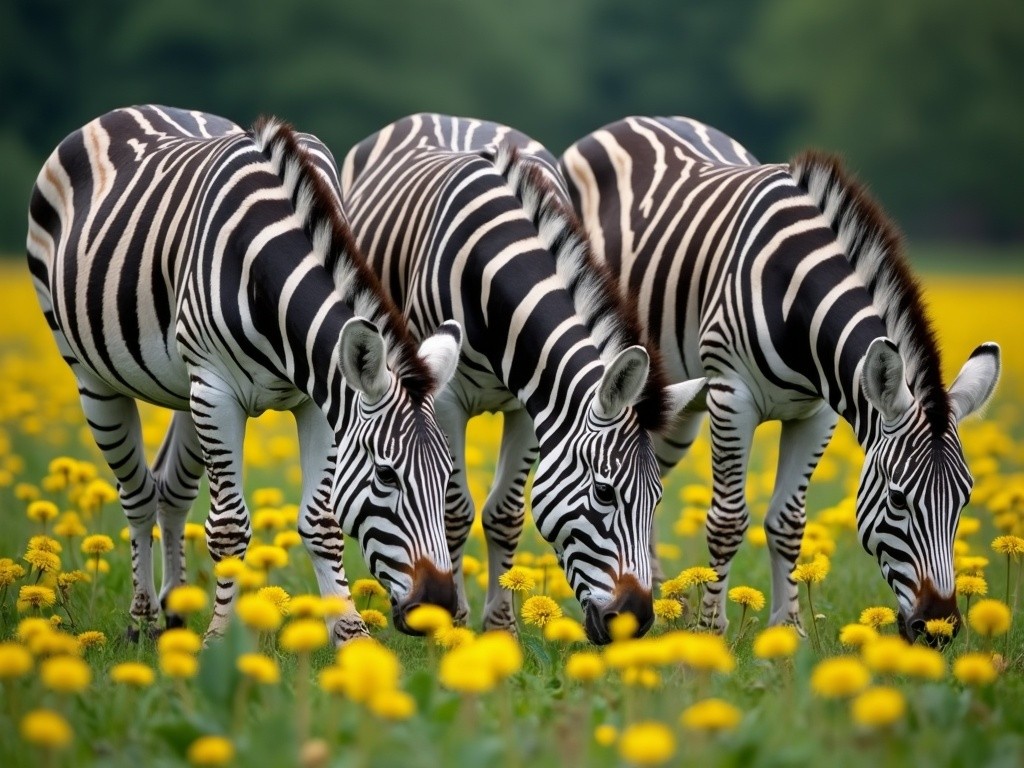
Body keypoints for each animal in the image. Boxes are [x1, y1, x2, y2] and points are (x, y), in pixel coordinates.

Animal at [24, 103, 464, 643]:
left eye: (447, 475)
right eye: (385, 474)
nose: (439, 607)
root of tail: (131, 110)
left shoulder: (317, 399)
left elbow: (322, 523)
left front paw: (351, 636)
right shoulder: (216, 392)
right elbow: (230, 527)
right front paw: (220, 640)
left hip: (185, 390)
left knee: (171, 492)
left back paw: (175, 615)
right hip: (97, 379)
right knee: (138, 495)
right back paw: (142, 619)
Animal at [335, 112, 704, 643]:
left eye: (656, 499)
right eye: (604, 492)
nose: (634, 623)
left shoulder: (532, 405)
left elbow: (505, 515)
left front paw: (501, 630)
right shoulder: (445, 401)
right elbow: (454, 511)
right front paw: (455, 629)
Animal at [561, 114, 999, 643]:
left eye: (965, 498)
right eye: (897, 499)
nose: (939, 629)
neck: (797, 296)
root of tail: (639, 119)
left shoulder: (817, 413)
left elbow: (788, 521)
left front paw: (788, 631)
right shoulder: (731, 396)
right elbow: (727, 521)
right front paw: (710, 631)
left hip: (676, 408)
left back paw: (666, 603)